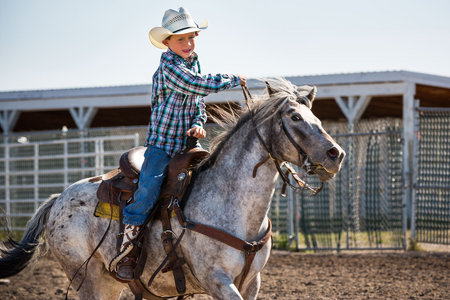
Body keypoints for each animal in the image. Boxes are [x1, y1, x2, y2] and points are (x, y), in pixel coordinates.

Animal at [0, 79, 344, 300]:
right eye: (295, 117)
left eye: (315, 116)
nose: (336, 154)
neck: (233, 204)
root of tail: (58, 199)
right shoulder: (217, 280)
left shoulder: (252, 283)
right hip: (87, 279)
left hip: (115, 284)